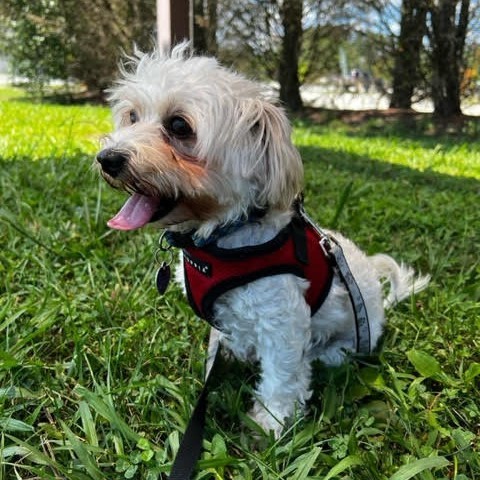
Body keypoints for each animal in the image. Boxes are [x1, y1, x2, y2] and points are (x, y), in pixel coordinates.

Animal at [95, 43, 430, 436]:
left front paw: (272, 422)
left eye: (179, 126)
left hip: (349, 342)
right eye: (132, 116)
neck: (221, 239)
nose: (107, 158)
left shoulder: (282, 320)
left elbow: (282, 376)